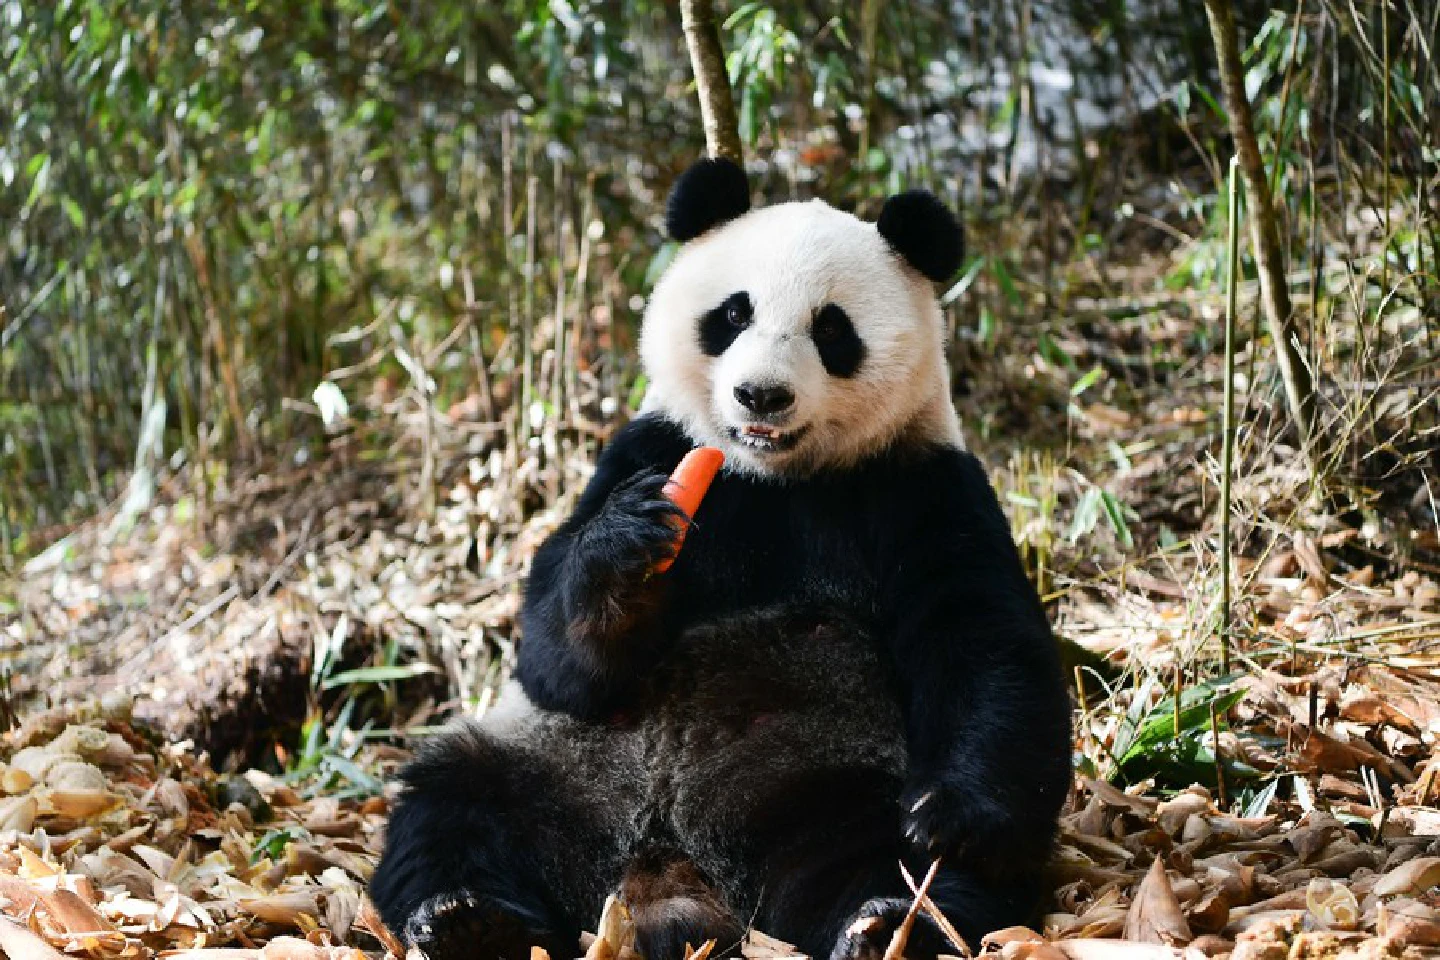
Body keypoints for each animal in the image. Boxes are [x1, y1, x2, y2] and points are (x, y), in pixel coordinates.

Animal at [370, 158, 1073, 960]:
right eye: (734, 314)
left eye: (832, 329)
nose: (760, 394)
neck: (772, 477)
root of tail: (667, 872)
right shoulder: (649, 449)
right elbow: (555, 659)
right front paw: (629, 555)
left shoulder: (919, 485)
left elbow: (983, 641)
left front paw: (955, 817)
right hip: (552, 763)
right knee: (451, 804)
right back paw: (466, 918)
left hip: (820, 768)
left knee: (881, 849)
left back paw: (893, 921)